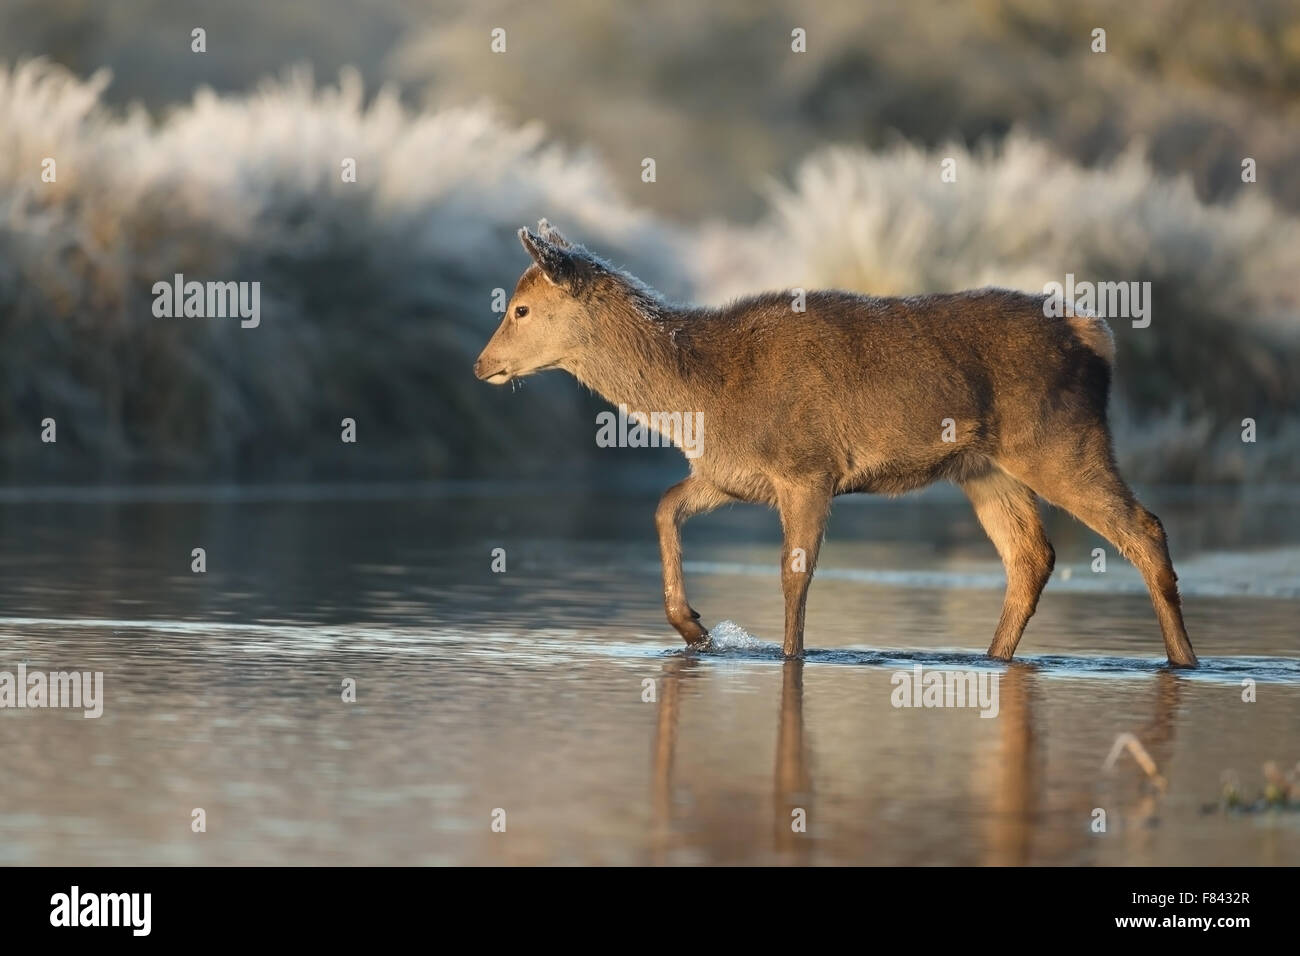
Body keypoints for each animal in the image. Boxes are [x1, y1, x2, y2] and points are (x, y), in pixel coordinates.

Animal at [475, 221, 1196, 671]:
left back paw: (1184, 660)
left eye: (520, 309)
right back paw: (995, 658)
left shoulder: (807, 468)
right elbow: (664, 505)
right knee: (1031, 556)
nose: (481, 365)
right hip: (985, 469)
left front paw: (791, 656)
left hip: (1061, 439)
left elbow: (795, 573)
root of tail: (1098, 337)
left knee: (1144, 528)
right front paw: (693, 627)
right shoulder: (731, 475)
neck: (702, 395)